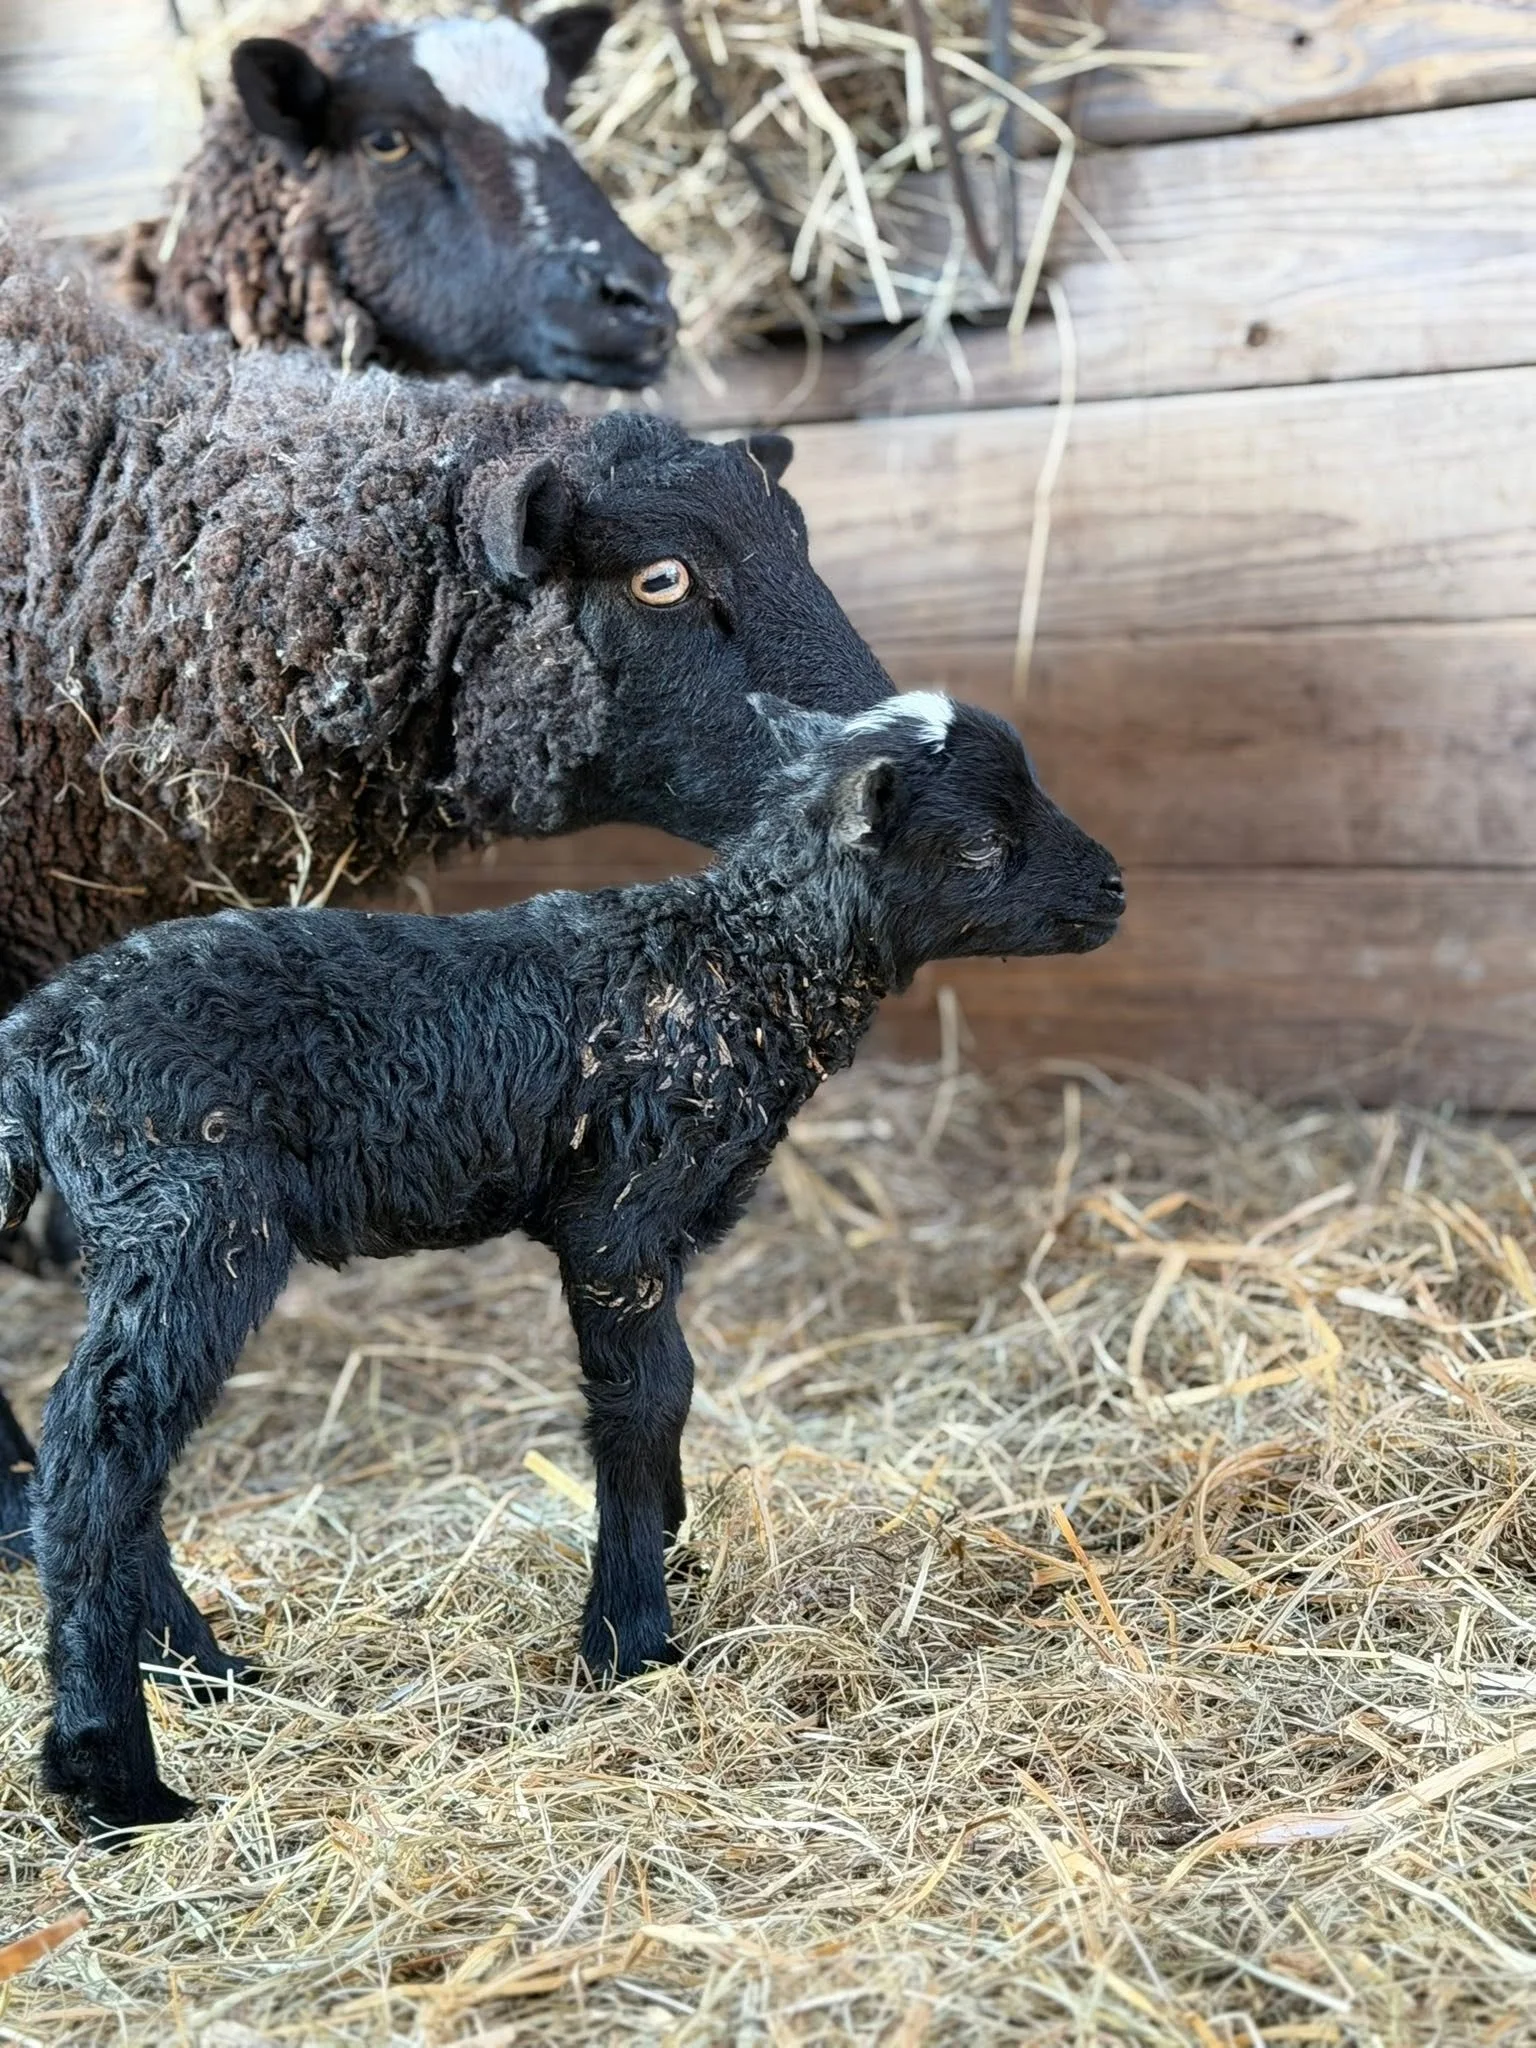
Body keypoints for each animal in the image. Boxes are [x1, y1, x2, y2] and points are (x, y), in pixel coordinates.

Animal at [0, 692, 1124, 1838]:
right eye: (983, 841)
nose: (1117, 889)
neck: (734, 967)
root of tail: (33, 1040)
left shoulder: (658, 1233)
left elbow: (673, 1392)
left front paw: (671, 1542)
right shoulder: (619, 1211)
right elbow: (645, 1395)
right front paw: (631, 1635)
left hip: (142, 1230)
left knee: (107, 1443)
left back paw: (202, 1670)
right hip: (190, 1216)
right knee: (101, 1446)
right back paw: (116, 1770)